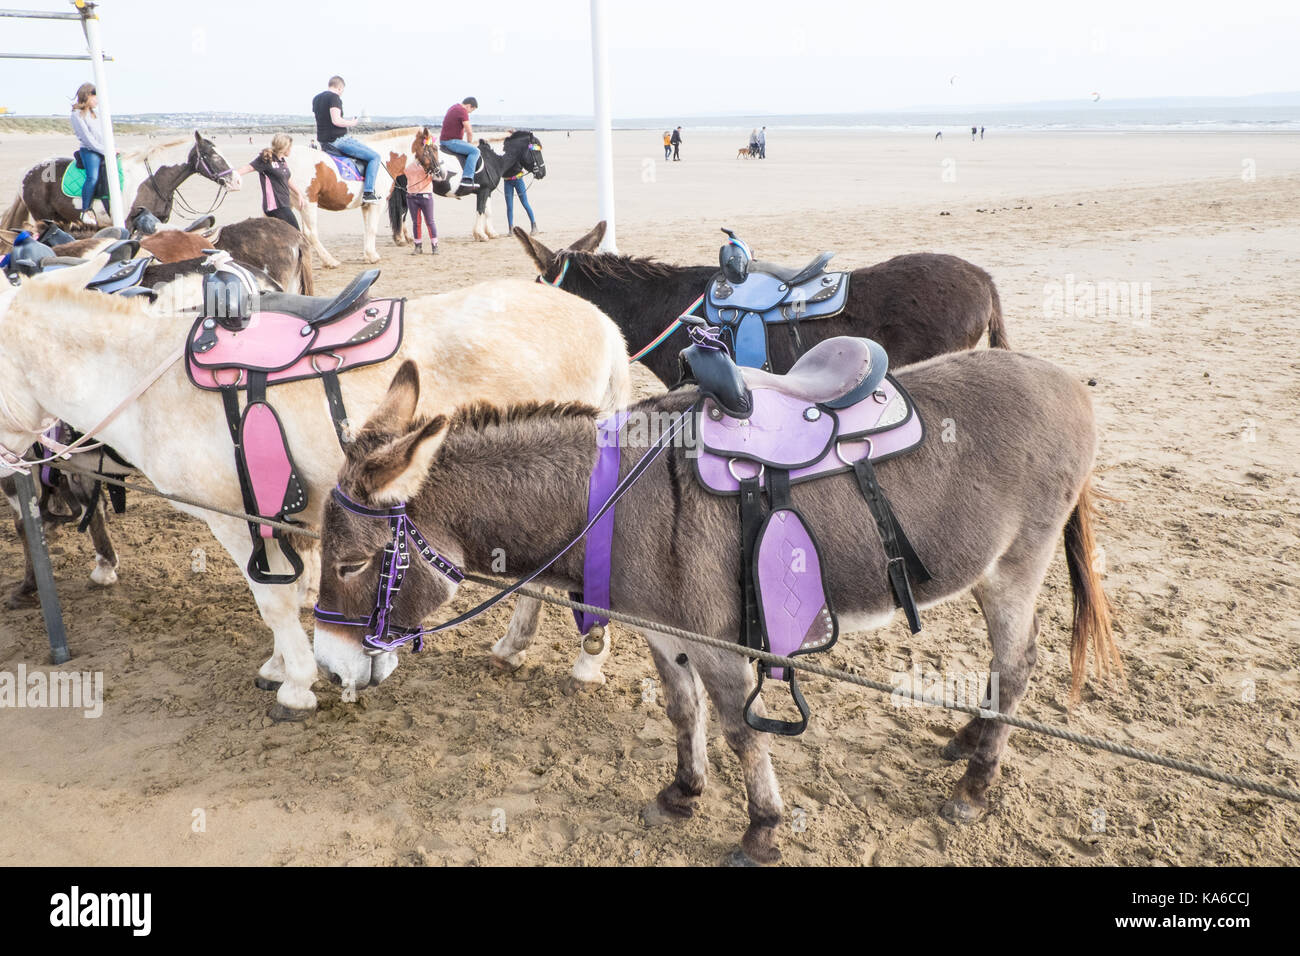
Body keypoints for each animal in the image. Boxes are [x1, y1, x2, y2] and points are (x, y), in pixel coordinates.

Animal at [0, 130, 241, 234]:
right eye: (212, 155)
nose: (236, 180)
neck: (152, 180)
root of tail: (28, 171)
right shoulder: (127, 222)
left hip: (63, 220)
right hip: (44, 217)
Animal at [0, 257, 631, 723]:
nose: (11, 478)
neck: (144, 377)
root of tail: (604, 325)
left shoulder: (234, 518)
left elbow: (273, 599)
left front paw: (297, 685)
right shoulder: (282, 521)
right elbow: (293, 588)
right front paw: (283, 665)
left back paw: (581, 661)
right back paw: (516, 647)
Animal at [312, 353, 1118, 868]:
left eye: (350, 564)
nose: (327, 666)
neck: (614, 498)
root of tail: (1069, 383)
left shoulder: (718, 645)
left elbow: (739, 730)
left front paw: (761, 831)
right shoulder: (662, 633)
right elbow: (683, 711)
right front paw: (682, 794)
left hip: (1015, 569)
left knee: (1019, 662)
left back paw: (975, 786)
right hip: (985, 574)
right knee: (1005, 667)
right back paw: (967, 738)